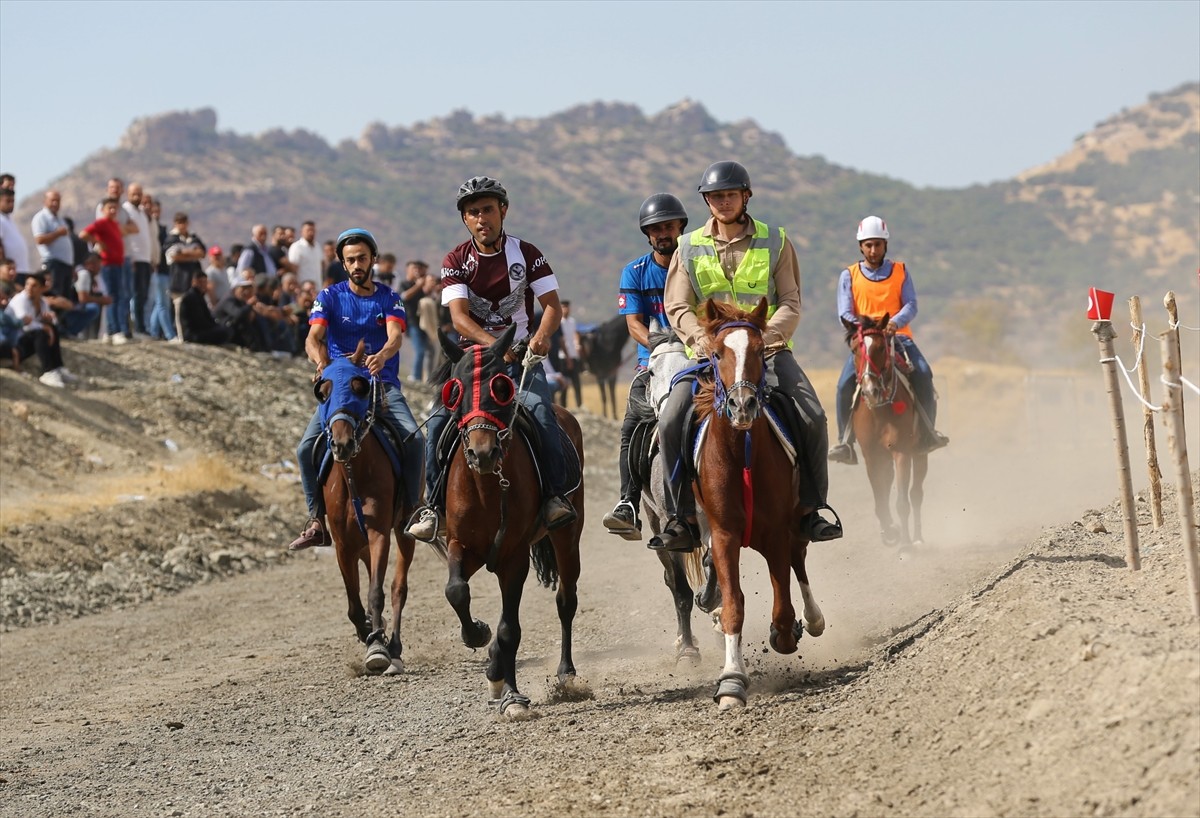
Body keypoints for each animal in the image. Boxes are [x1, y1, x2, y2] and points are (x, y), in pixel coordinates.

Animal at [316, 340, 420, 671]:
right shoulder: (342, 544)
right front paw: (368, 632)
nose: (342, 443)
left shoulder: (379, 534)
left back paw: (394, 646)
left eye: (359, 386)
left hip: (402, 530)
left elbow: (376, 592)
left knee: (399, 587)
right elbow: (353, 601)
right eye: (323, 391)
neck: (354, 474)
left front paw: (377, 647)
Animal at [439, 321, 592, 714]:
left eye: (501, 389)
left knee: (566, 600)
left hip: (568, 536)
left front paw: (509, 692)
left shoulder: (514, 557)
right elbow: (456, 591)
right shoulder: (461, 545)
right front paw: (477, 634)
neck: (487, 486)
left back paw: (566, 672)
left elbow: (510, 629)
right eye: (455, 391)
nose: (482, 453)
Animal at [696, 297, 825, 705]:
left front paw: (785, 633)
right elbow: (734, 605)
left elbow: (783, 601)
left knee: (800, 561)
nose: (742, 406)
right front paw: (731, 681)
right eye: (717, 352)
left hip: (798, 519)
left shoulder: (776, 533)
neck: (742, 454)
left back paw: (813, 619)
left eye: (758, 351)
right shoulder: (723, 535)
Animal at [844, 314, 926, 544]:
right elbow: (880, 499)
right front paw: (890, 532)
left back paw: (917, 538)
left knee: (916, 494)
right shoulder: (872, 456)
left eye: (881, 348)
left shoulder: (902, 451)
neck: (880, 410)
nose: (870, 390)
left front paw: (905, 545)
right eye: (855, 349)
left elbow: (902, 502)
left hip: (920, 453)